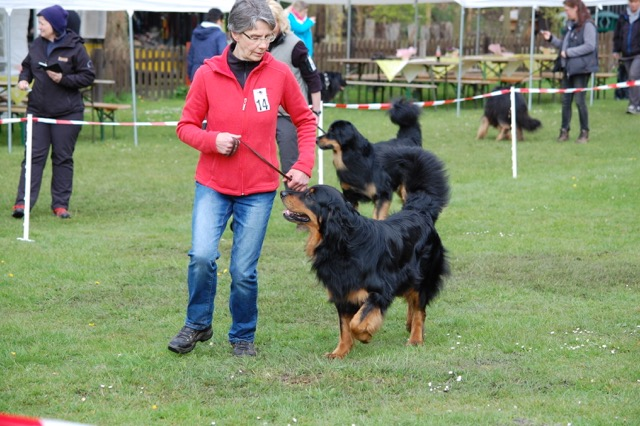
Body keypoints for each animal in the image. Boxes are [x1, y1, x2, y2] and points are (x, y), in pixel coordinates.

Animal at [280, 180, 450, 356]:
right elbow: (344, 327)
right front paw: (339, 352)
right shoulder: (342, 292)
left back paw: (415, 338)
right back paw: (409, 325)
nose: (282, 193)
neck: (342, 243)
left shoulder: (380, 291)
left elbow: (356, 322)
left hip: (422, 276)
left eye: (310, 195)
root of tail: (419, 212)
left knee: (419, 309)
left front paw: (365, 336)